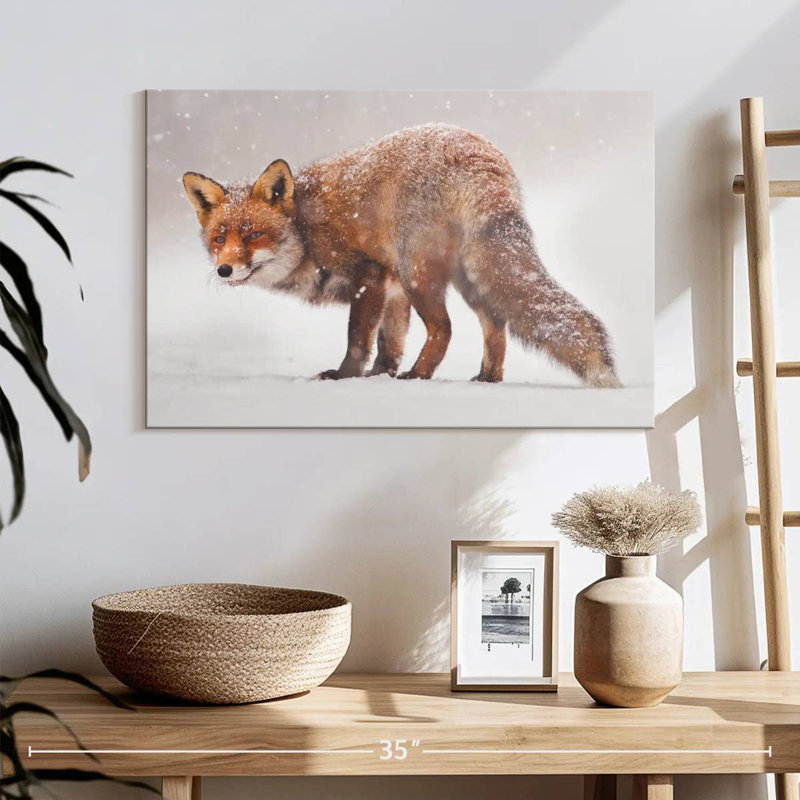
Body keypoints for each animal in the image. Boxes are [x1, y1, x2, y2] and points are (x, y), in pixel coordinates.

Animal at [183, 123, 620, 386]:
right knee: (496, 326)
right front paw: (382, 377)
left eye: (254, 235)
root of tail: (479, 154)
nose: (224, 270)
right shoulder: (392, 293)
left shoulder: (370, 276)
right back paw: (486, 379)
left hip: (419, 274)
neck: (306, 230)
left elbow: (358, 340)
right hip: (468, 278)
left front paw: (345, 377)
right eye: (219, 238)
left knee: (445, 329)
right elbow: (388, 344)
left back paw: (420, 376)